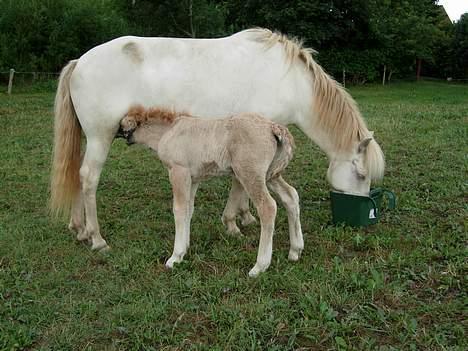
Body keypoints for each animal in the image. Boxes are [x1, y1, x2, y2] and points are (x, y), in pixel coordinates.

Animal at [50, 27, 384, 253]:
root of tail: (80, 61)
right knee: (89, 178)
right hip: (101, 138)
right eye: (360, 173)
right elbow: (239, 184)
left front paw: (244, 216)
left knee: (78, 175)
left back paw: (79, 229)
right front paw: (233, 222)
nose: (362, 216)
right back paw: (97, 238)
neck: (289, 81)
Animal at [120, 107, 304, 278]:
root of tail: (273, 127)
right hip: (271, 174)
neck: (168, 131)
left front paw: (175, 257)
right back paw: (295, 250)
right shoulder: (193, 179)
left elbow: (179, 210)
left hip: (250, 173)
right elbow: (189, 209)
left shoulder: (178, 172)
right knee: (290, 196)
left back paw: (259, 266)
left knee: (268, 207)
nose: (119, 134)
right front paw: (185, 247)